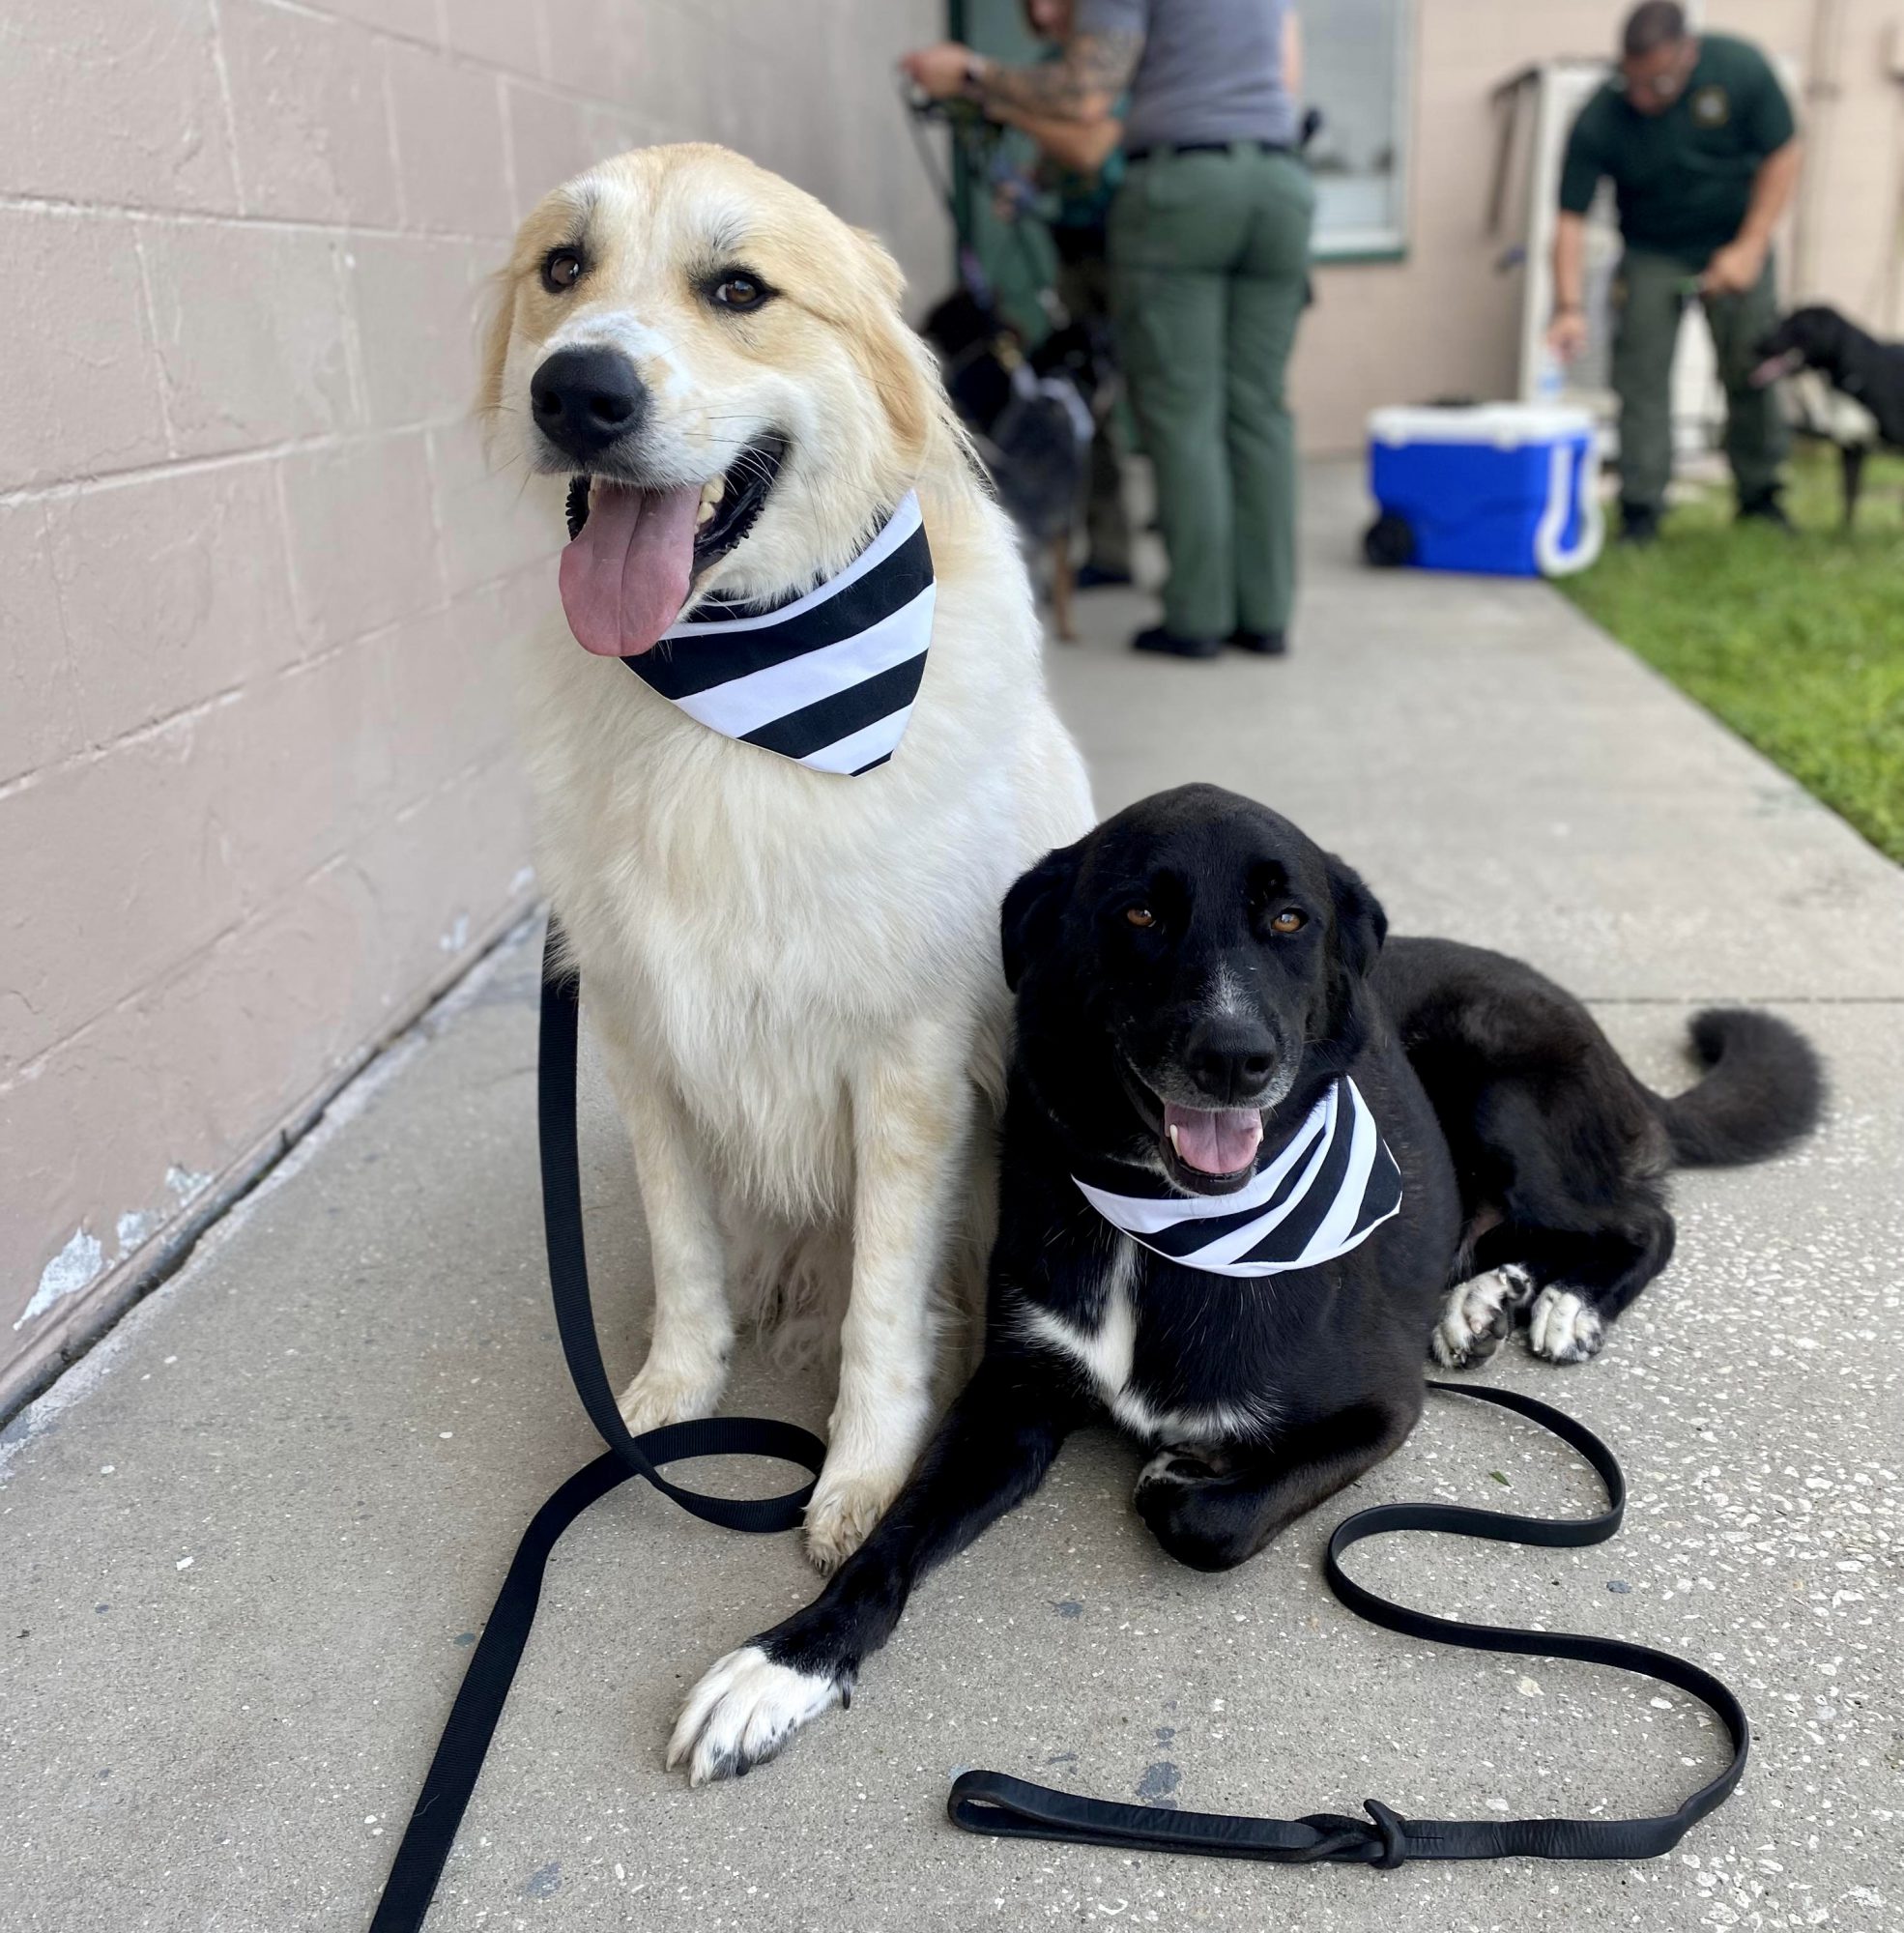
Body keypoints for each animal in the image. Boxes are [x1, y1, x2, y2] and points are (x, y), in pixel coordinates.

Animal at [483, 147, 1090, 1570]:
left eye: (737, 290)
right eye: (561, 268)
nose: (575, 393)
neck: (731, 698)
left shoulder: (909, 1068)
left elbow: (882, 1300)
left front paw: (861, 1477)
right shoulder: (638, 1032)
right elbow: (683, 1253)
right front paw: (667, 1406)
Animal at [661, 781, 1817, 1778]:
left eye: (1289, 919)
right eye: (1136, 910)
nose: (1232, 1059)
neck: (1164, 1224)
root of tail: (1596, 1032)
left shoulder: (1380, 1410)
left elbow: (1203, 1522)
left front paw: (1186, 1474)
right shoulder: (1009, 1397)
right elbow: (893, 1536)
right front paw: (783, 1666)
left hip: (1498, 1081)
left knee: (1643, 1219)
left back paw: (1565, 1301)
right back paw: (1485, 1296)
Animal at [1755, 303, 1902, 530]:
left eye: (1794, 325)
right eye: (1782, 321)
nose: (1755, 346)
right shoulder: (1851, 447)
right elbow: (1849, 498)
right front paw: (1846, 535)